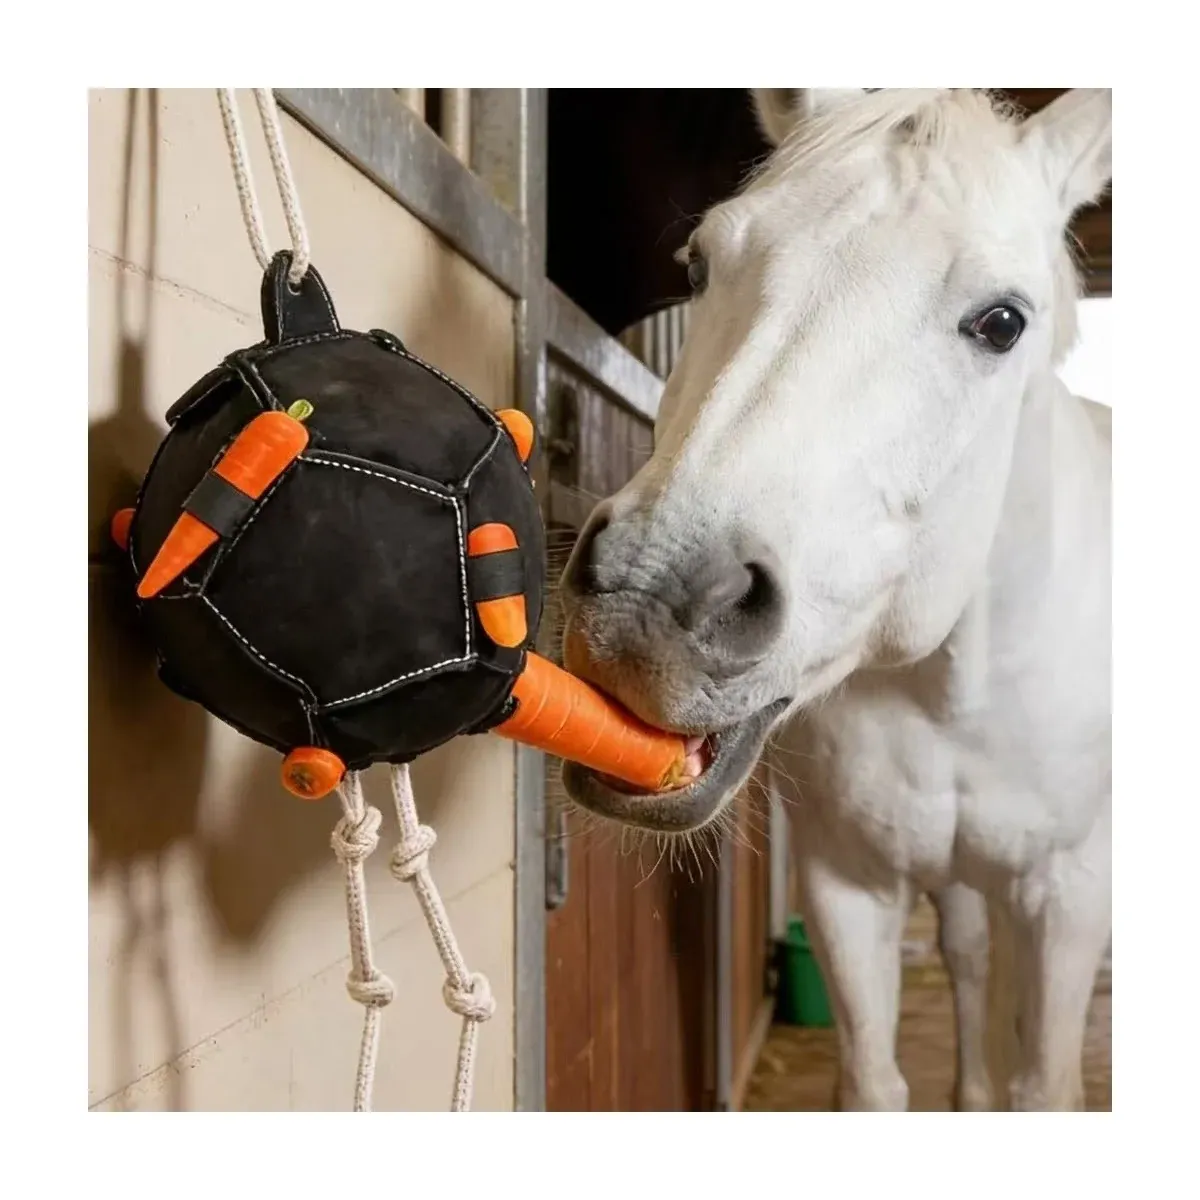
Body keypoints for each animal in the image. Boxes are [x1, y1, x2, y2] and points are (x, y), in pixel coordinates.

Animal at [558, 88, 1111, 1112]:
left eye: (1002, 322)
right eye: (700, 262)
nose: (648, 602)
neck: (953, 690)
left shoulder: (1067, 898)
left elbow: (1044, 1084)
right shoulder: (847, 885)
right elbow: (875, 1080)